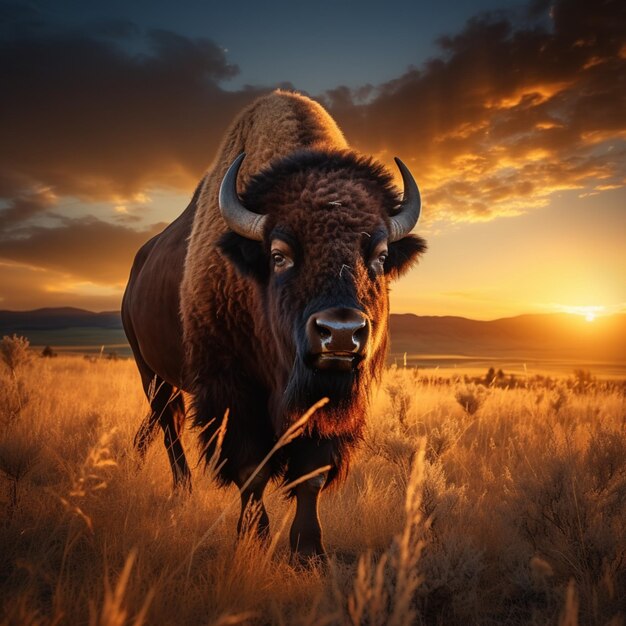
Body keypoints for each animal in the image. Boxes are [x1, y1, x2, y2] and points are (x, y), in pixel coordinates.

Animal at [120, 89, 424, 560]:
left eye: (379, 256)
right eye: (279, 254)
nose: (340, 333)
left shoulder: (325, 403)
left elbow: (310, 473)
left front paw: (308, 550)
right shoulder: (233, 391)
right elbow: (252, 469)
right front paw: (255, 537)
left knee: (162, 421)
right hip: (148, 369)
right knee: (169, 424)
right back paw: (182, 490)